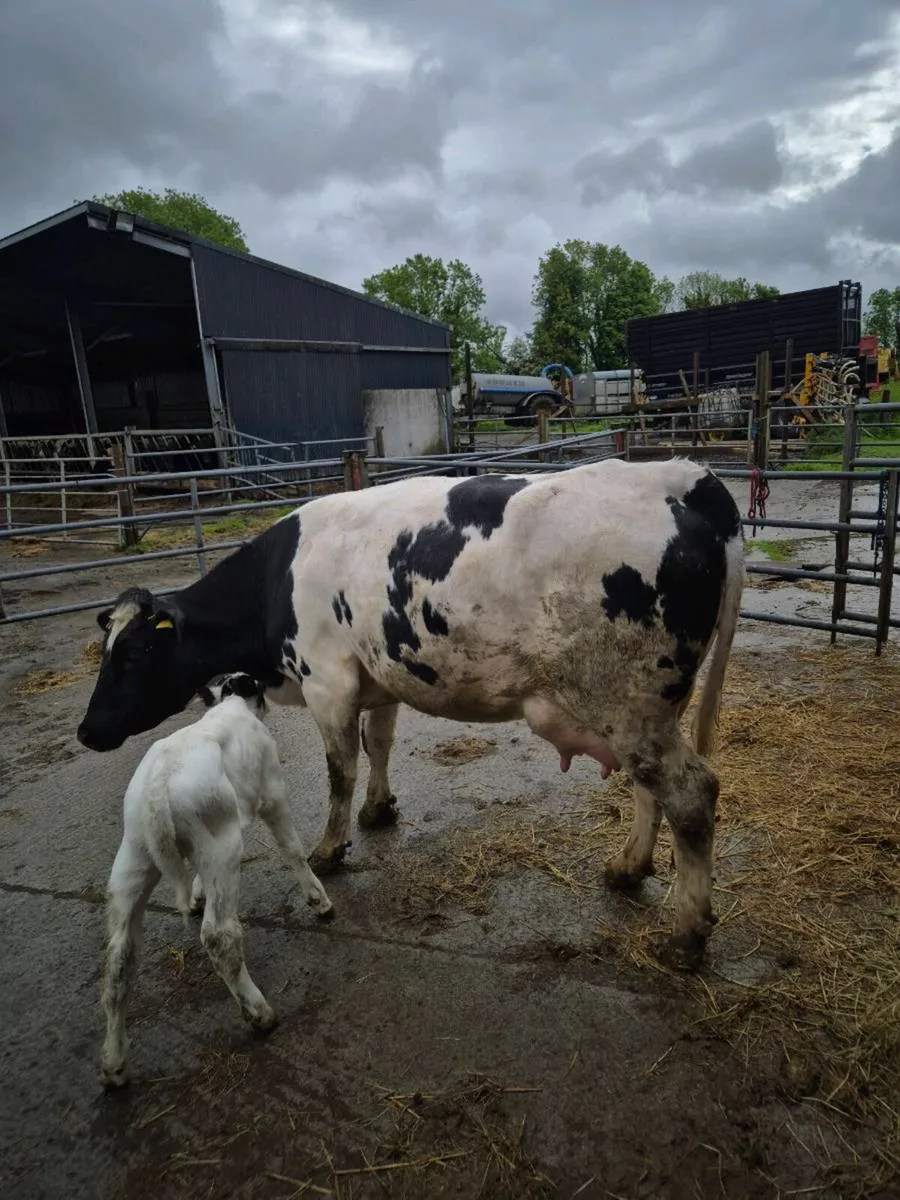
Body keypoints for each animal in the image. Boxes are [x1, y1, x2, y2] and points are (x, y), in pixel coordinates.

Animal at [77, 458, 745, 969]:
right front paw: (379, 810)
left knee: (691, 794)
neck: (279, 578)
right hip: (646, 707)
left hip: (627, 703)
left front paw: (331, 847)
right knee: (651, 789)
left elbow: (340, 769)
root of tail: (681, 476)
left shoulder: (327, 681)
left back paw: (687, 935)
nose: (86, 731)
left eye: (133, 655)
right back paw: (629, 867)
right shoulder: (381, 677)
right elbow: (380, 744)